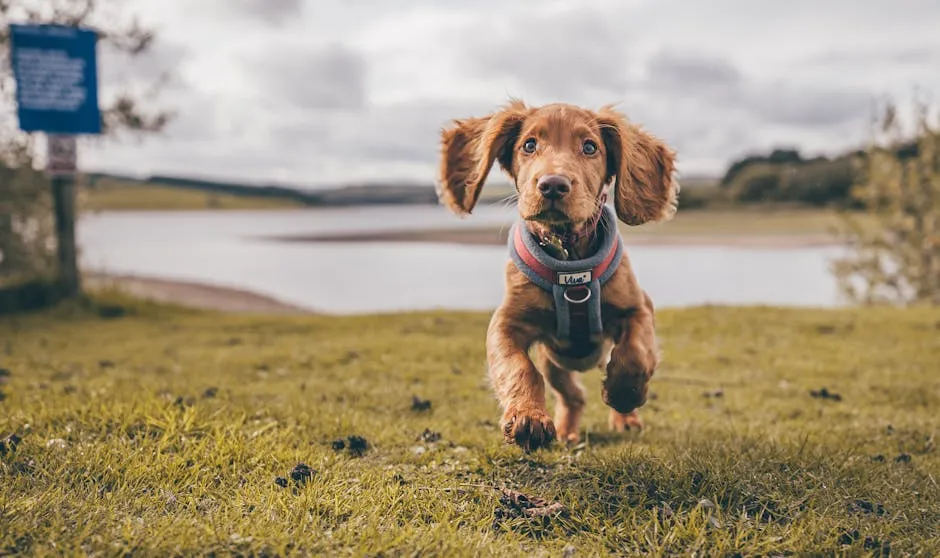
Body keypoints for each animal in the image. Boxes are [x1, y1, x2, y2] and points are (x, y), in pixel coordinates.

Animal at [434, 100, 676, 456]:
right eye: (529, 145)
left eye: (589, 147)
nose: (552, 185)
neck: (569, 259)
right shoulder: (506, 323)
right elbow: (518, 367)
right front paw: (528, 417)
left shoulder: (639, 307)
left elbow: (635, 353)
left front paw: (623, 395)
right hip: (554, 363)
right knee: (573, 396)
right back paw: (565, 432)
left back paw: (625, 419)